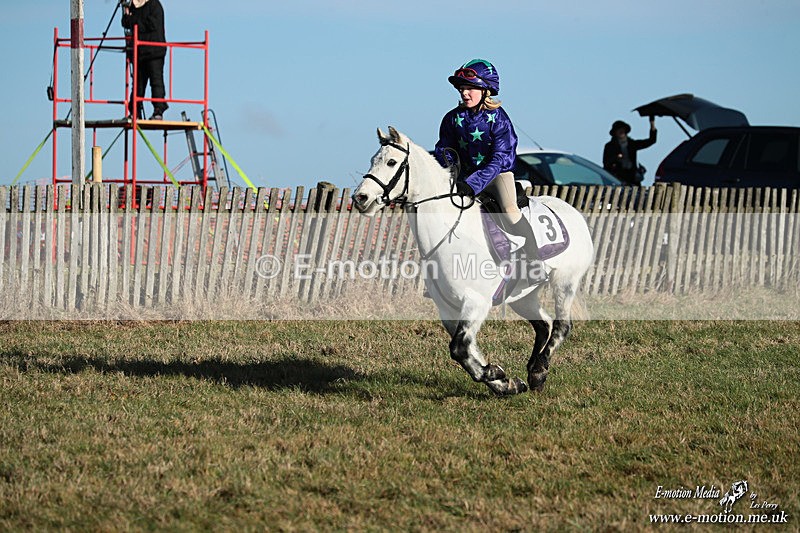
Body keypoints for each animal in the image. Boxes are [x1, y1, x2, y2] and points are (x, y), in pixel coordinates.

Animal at [352, 126, 594, 396]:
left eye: (392, 162)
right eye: (373, 160)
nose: (360, 198)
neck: (449, 233)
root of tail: (573, 211)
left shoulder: (476, 302)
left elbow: (459, 348)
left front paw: (496, 374)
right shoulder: (448, 309)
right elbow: (467, 351)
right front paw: (505, 383)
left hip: (565, 282)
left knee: (562, 325)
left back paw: (540, 369)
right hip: (522, 296)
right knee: (544, 324)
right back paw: (533, 373)